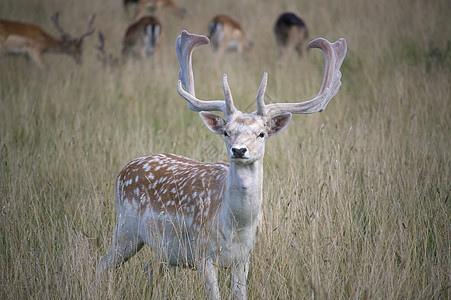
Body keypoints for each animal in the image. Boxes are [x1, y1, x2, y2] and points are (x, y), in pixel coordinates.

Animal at [96, 29, 350, 298]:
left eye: (261, 133)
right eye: (227, 132)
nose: (238, 150)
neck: (237, 227)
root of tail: (125, 169)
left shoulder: (244, 258)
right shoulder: (204, 254)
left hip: (166, 252)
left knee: (147, 268)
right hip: (126, 228)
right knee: (102, 264)